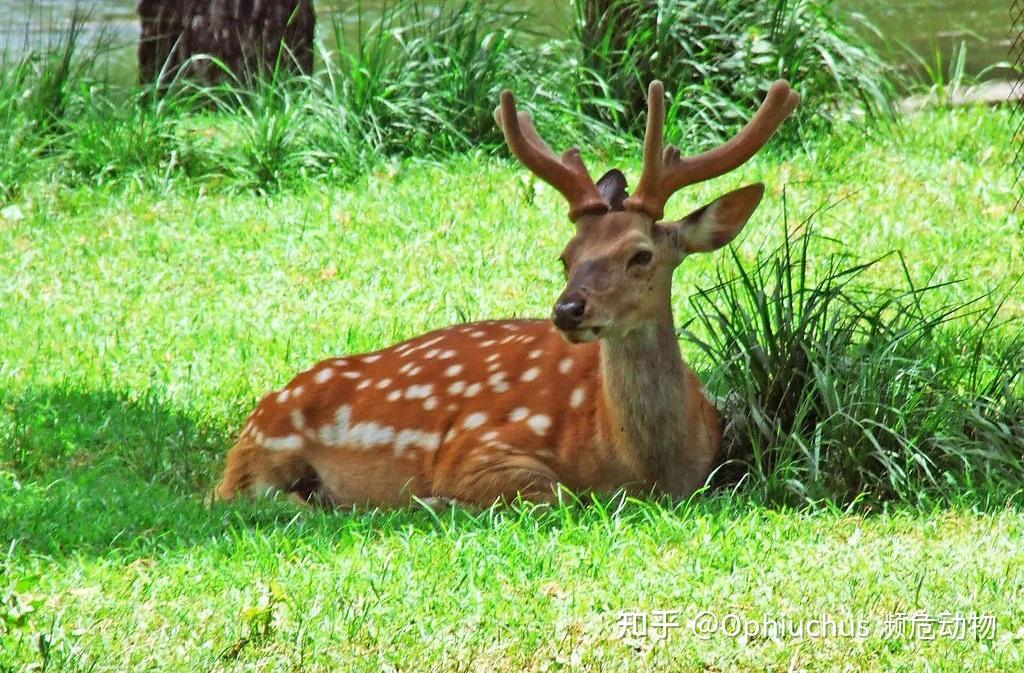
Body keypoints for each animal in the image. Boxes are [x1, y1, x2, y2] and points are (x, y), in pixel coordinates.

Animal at [215, 79, 800, 508]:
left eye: (641, 255)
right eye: (566, 255)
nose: (568, 310)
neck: (644, 466)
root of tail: (255, 415)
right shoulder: (475, 447)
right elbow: (560, 495)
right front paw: (439, 501)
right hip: (264, 456)